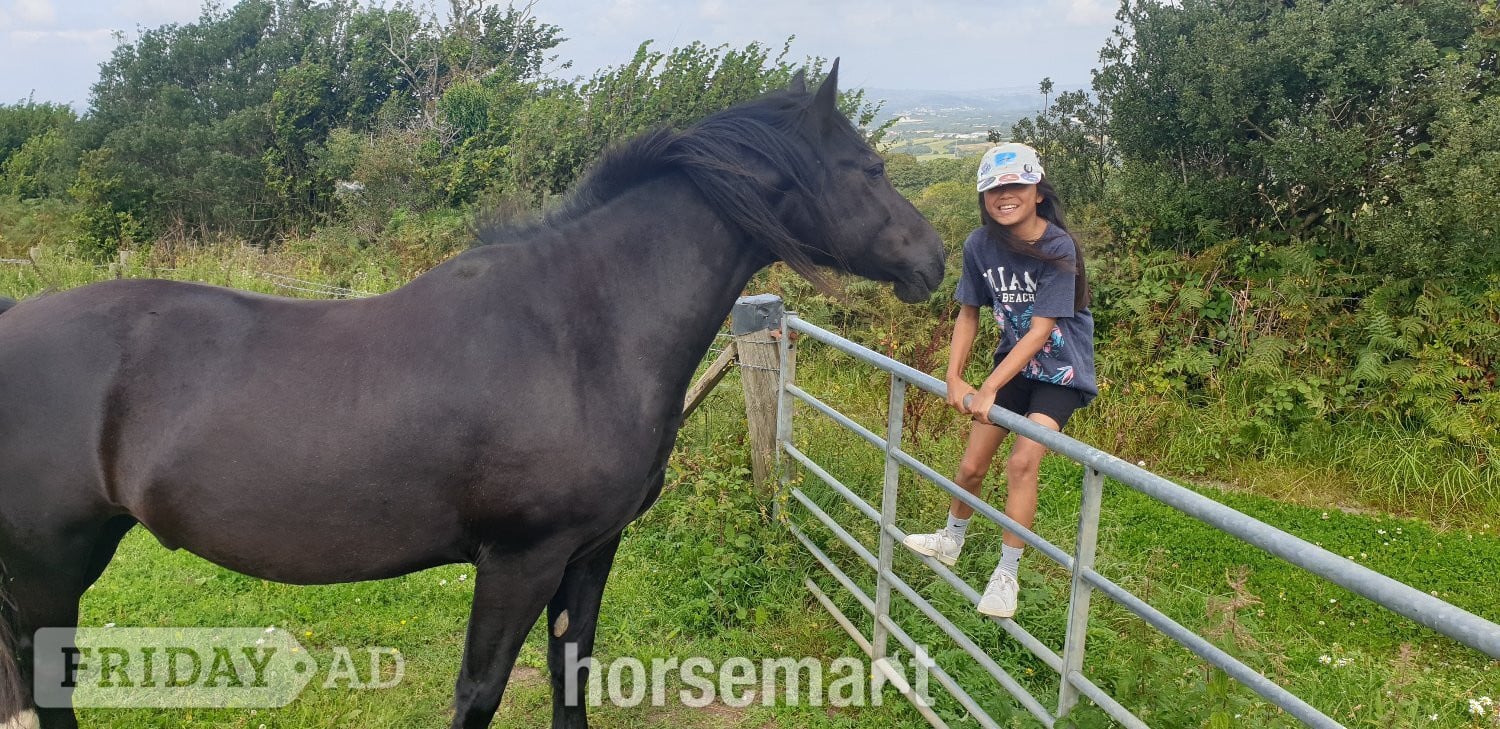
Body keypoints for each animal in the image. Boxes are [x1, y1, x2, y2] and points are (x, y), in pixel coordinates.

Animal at [0, 63, 944, 728]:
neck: (580, 332)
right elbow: (481, 691)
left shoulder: (589, 552)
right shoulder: (519, 558)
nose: (933, 257)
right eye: (866, 165)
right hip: (49, 566)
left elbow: (572, 675)